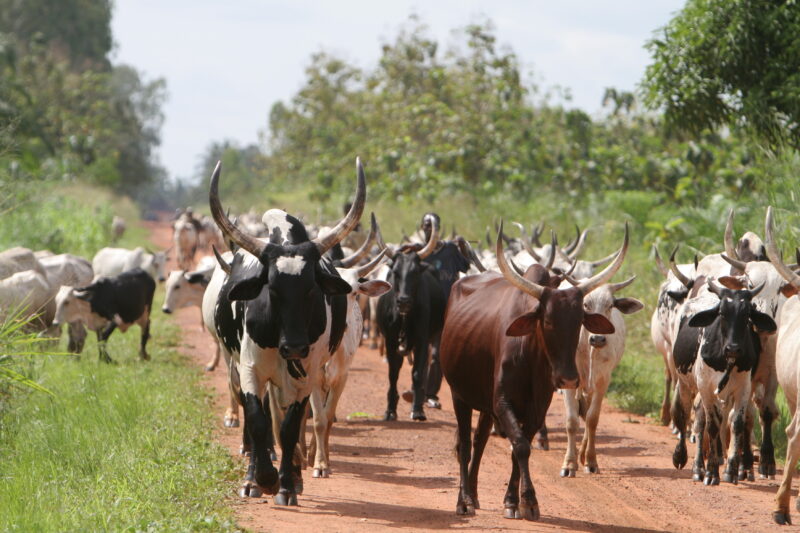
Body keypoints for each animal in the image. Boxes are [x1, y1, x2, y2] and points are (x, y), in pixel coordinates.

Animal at [208, 158, 363, 505]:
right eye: (272, 289)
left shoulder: (307, 375)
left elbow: (291, 426)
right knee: (262, 420)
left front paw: (286, 486)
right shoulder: (250, 369)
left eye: (311, 290)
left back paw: (293, 472)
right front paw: (260, 479)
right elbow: (257, 419)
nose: (293, 347)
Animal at [440, 222, 628, 520]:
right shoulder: (502, 401)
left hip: (485, 403)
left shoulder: (536, 406)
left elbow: (521, 447)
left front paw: (515, 501)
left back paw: (475, 495)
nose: (568, 378)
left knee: (480, 442)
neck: (530, 356)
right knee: (466, 446)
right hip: (460, 395)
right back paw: (465, 500)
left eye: (580, 319)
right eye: (547, 320)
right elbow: (519, 445)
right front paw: (527, 500)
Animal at [560, 276, 643, 477]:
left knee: (588, 413)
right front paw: (569, 464)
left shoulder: (603, 381)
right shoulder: (568, 382)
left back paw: (583, 454)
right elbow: (571, 420)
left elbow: (592, 419)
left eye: (610, 305)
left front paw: (590, 461)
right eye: (586, 305)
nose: (598, 339)